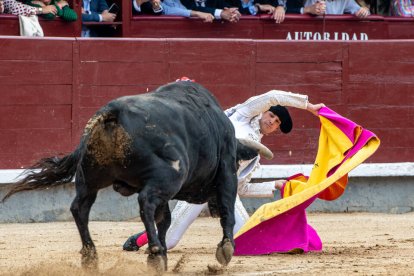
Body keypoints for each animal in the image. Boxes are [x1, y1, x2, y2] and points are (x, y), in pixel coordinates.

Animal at [4, 82, 274, 272]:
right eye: (237, 163)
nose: (212, 206)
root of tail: (112, 113)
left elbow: (164, 220)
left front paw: (163, 251)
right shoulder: (226, 172)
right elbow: (227, 209)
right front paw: (225, 249)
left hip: (89, 178)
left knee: (80, 208)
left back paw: (92, 257)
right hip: (168, 177)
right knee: (145, 203)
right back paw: (154, 253)